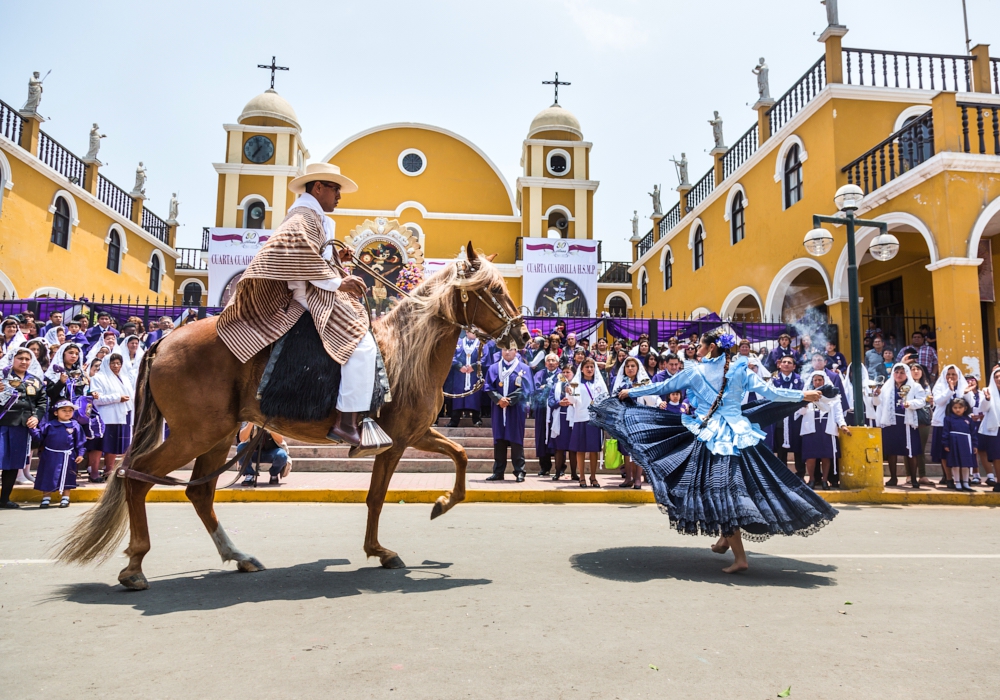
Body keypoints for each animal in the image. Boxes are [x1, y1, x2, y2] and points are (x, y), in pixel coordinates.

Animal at [52, 243, 532, 588]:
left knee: (198, 493)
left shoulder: (419, 432)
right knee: (135, 477)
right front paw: (386, 546)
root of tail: (164, 341)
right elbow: (377, 496)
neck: (408, 349)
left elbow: (460, 456)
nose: (524, 335)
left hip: (217, 435)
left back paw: (238, 557)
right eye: (493, 290)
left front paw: (441, 503)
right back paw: (135, 565)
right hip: (194, 433)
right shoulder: (397, 439)